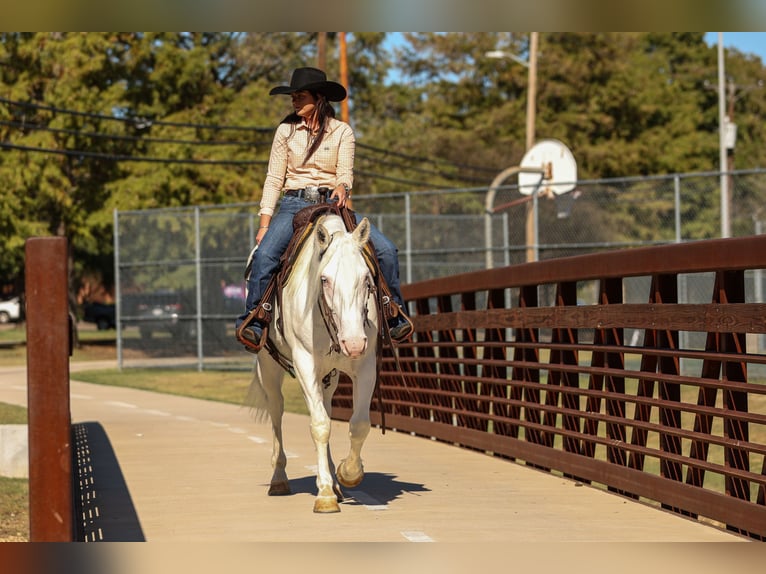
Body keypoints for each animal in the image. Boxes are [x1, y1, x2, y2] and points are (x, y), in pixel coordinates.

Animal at [246, 214, 380, 516]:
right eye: (325, 280)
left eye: (366, 278)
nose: (354, 342)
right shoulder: (305, 363)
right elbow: (319, 425)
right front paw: (325, 495)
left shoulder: (366, 366)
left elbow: (359, 424)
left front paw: (347, 473)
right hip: (268, 366)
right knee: (277, 411)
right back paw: (279, 479)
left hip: (329, 376)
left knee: (327, 409)